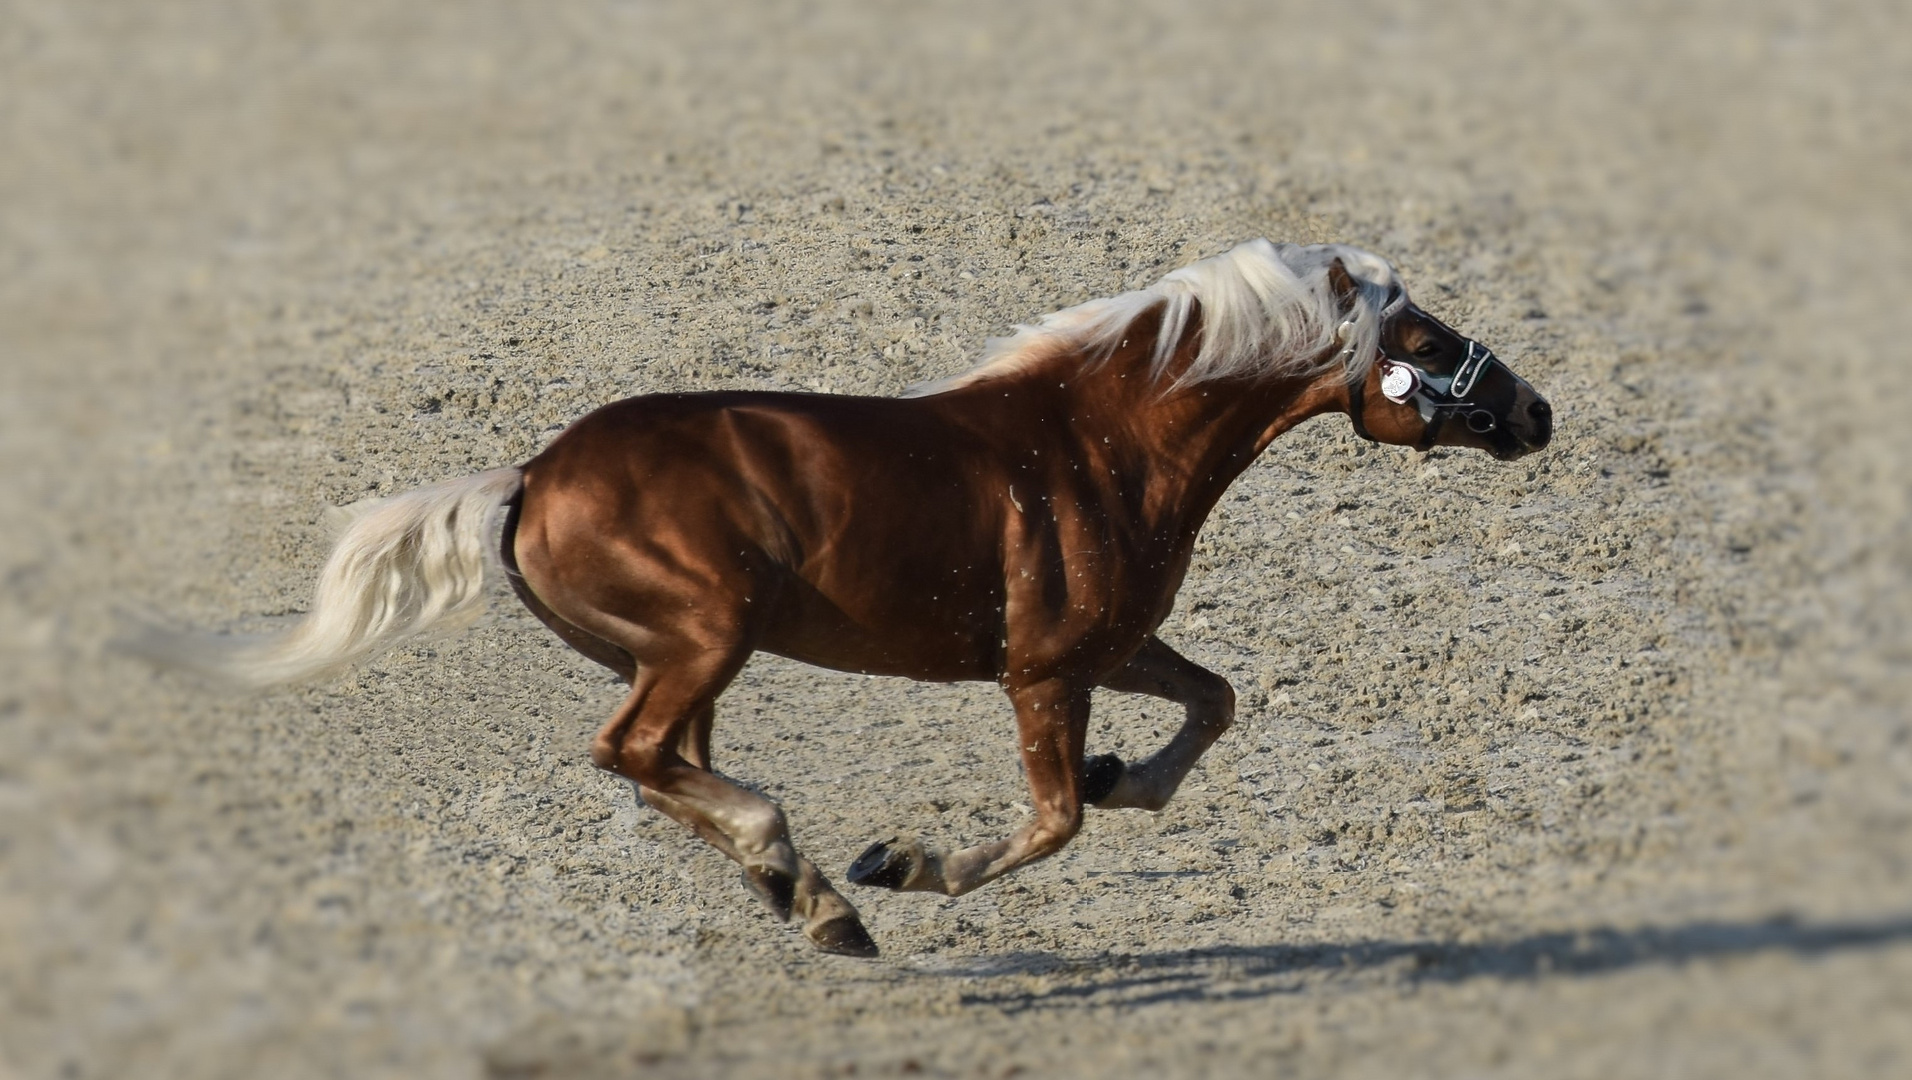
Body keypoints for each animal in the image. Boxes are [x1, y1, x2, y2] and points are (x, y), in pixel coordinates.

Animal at [141, 239, 1552, 955]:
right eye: (1422, 341)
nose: (1536, 412)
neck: (1101, 441)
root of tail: (529, 475)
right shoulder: (1046, 670)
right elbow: (1052, 824)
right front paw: (909, 861)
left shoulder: (1117, 645)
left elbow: (1214, 705)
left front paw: (1123, 780)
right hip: (701, 640)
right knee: (633, 754)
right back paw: (818, 888)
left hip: (688, 658)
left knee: (668, 769)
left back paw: (802, 894)